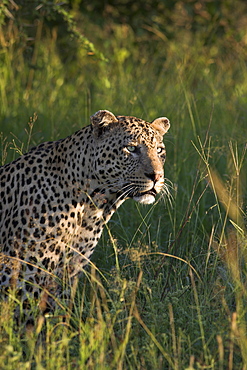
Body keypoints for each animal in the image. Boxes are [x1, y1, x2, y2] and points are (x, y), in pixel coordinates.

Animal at [0, 110, 170, 310]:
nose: (157, 176)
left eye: (159, 150)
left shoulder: (68, 273)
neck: (93, 208)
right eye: (131, 148)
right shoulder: (25, 275)